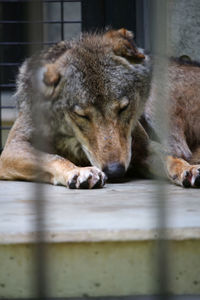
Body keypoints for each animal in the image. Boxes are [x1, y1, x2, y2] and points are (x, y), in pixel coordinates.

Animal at [0, 28, 199, 188]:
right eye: (81, 115)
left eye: (123, 108)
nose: (115, 171)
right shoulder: (13, 149)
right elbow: (55, 157)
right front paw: (79, 171)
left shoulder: (142, 146)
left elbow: (171, 158)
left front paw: (188, 169)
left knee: (182, 151)